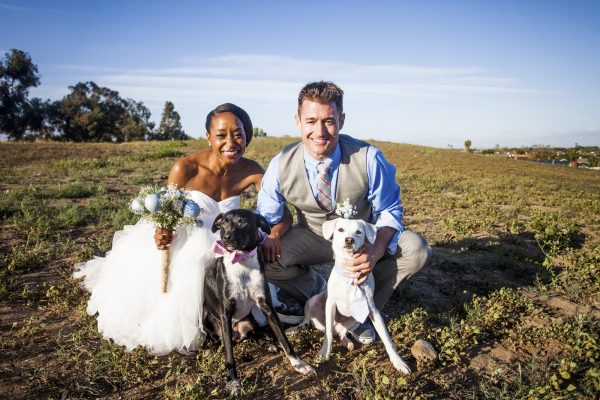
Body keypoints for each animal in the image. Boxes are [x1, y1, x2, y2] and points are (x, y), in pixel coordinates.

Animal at [205, 211, 316, 396]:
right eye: (223, 224)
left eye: (243, 222)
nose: (227, 237)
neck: (241, 262)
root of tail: (238, 335)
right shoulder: (225, 313)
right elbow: (229, 354)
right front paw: (233, 383)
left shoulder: (266, 306)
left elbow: (284, 340)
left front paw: (299, 365)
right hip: (208, 320)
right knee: (221, 341)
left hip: (250, 319)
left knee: (254, 334)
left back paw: (268, 344)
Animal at [300, 217, 412, 374]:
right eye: (340, 229)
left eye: (359, 232)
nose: (349, 239)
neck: (350, 271)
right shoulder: (331, 304)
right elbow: (328, 334)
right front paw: (324, 353)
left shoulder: (373, 310)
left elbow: (387, 338)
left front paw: (398, 362)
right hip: (313, 301)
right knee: (323, 327)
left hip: (356, 319)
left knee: (342, 332)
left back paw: (347, 342)